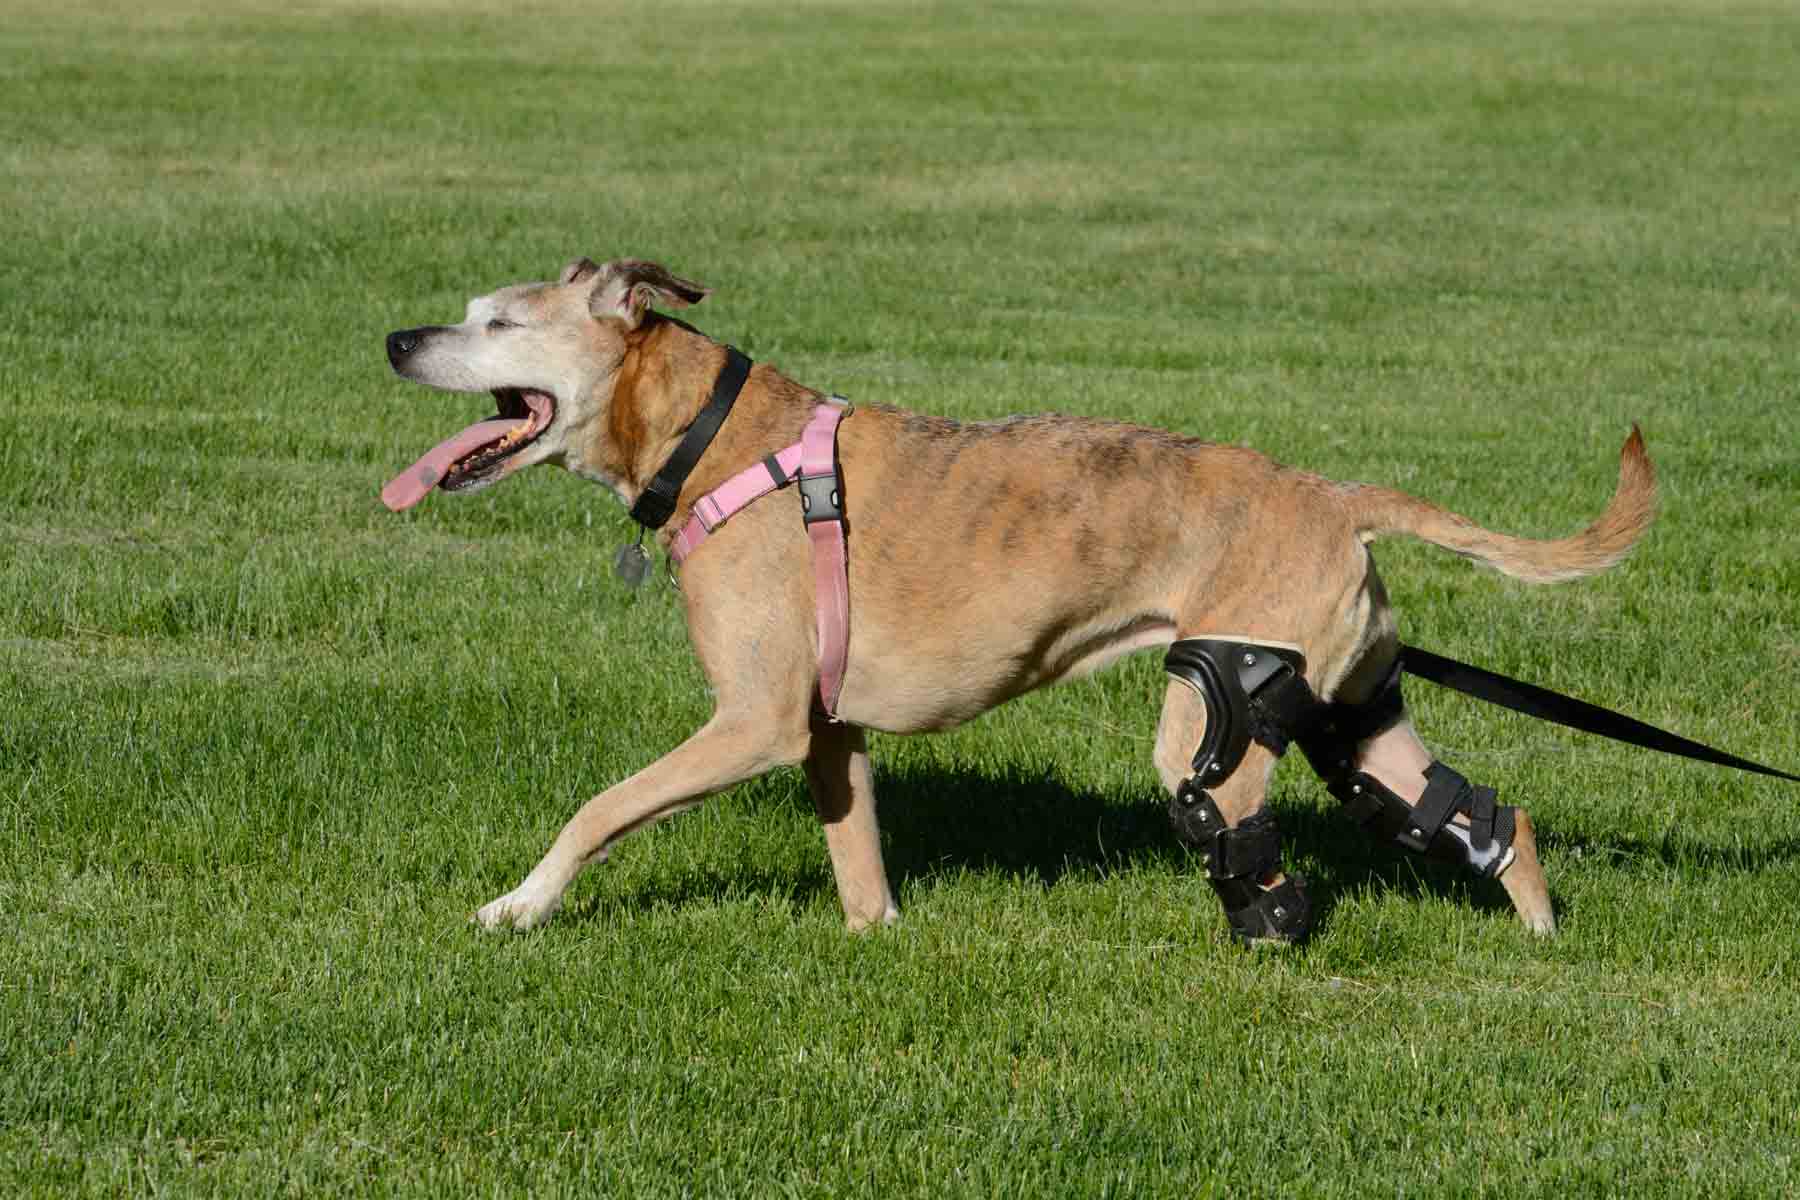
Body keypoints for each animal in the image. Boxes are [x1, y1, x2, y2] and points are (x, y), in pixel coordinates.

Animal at [383, 259, 1656, 942]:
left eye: (499, 323)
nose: (396, 336)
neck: (716, 441)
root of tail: (1329, 494)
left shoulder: (754, 723)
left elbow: (598, 809)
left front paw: (518, 908)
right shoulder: (828, 733)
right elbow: (857, 856)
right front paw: (877, 939)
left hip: (1220, 709)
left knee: (1237, 827)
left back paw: (1269, 941)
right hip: (1356, 699)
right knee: (1472, 808)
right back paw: (1537, 927)